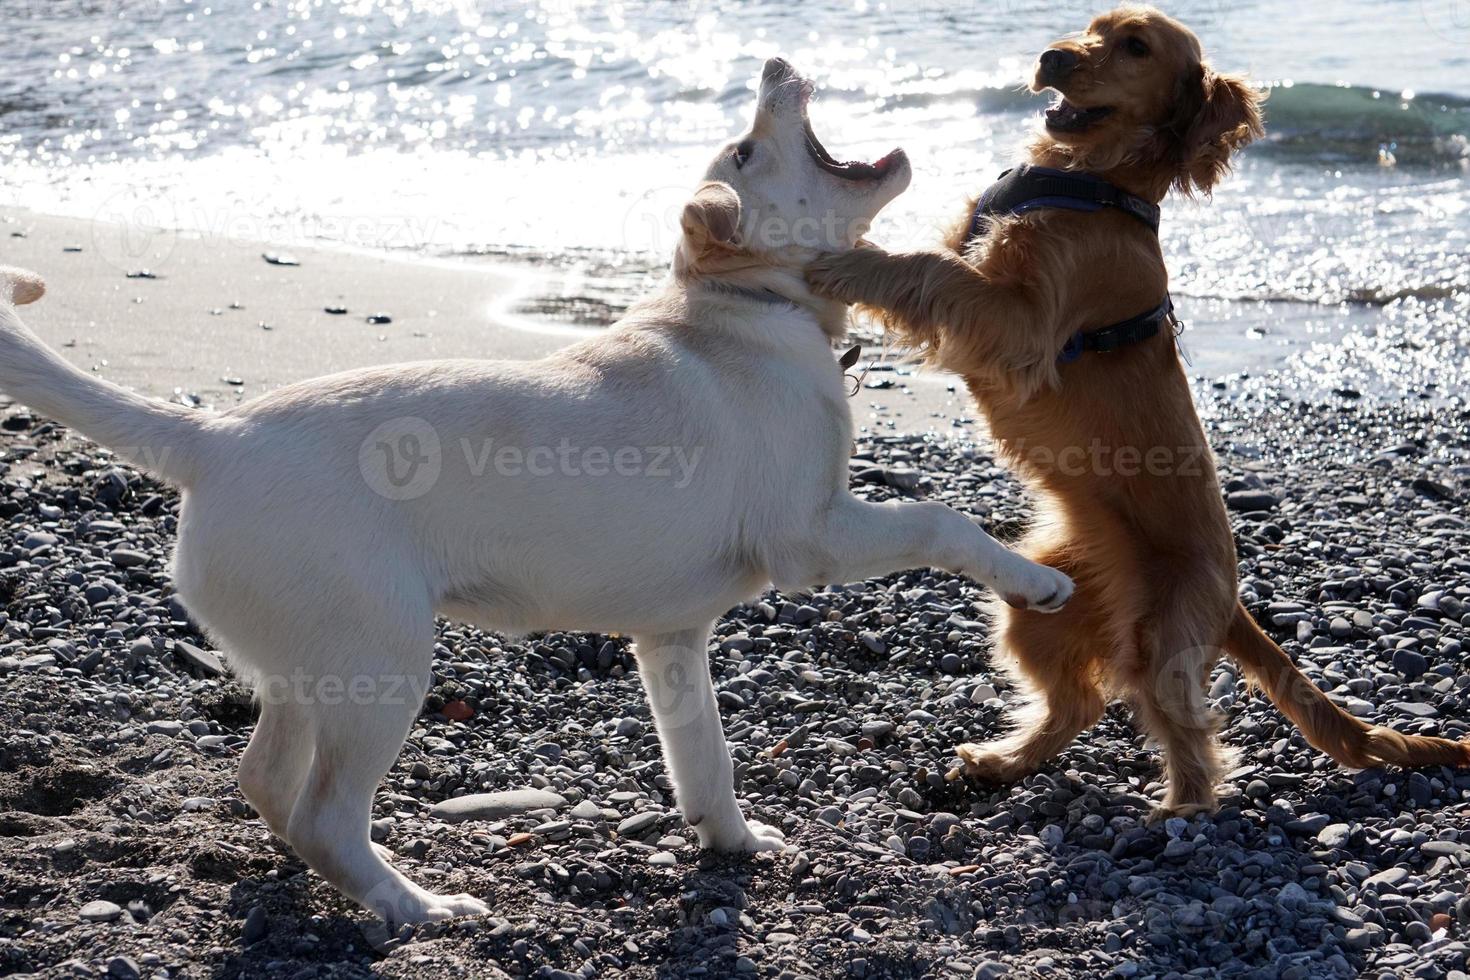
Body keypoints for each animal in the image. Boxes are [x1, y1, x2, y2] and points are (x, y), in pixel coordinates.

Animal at [2, 61, 1070, 928]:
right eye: (746, 145)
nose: (773, 62)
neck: (741, 307)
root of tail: (213, 438)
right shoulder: (816, 538)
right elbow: (942, 518)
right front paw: (1034, 583)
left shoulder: (670, 639)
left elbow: (703, 755)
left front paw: (730, 842)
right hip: (381, 665)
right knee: (325, 813)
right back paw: (418, 908)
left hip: (312, 664)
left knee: (265, 778)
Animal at [811, 9, 1464, 822]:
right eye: (1090, 28)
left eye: (1135, 47)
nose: (1051, 56)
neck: (1094, 180)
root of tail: (1233, 600)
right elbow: (930, 263)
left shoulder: (1021, 320)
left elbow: (925, 271)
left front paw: (845, 263)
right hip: (1040, 606)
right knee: (1079, 704)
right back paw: (1005, 761)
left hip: (1158, 635)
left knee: (1188, 725)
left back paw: (1181, 808)